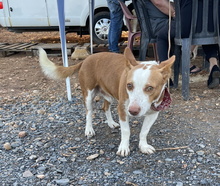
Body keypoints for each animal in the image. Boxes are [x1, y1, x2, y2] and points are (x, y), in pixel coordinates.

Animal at [38, 47, 174, 156]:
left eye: (150, 88)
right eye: (129, 85)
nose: (133, 111)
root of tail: (86, 59)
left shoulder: (153, 113)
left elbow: (144, 131)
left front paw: (143, 146)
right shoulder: (122, 109)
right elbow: (126, 130)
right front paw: (124, 147)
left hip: (109, 94)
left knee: (105, 107)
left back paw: (111, 123)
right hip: (88, 95)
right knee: (89, 112)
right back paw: (89, 129)